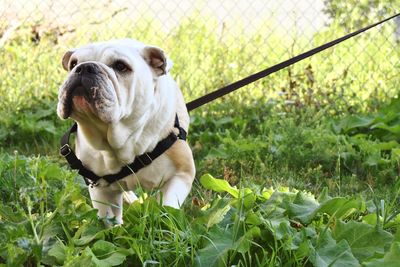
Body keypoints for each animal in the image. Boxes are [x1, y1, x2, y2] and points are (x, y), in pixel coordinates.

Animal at [57, 39, 195, 224]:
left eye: (121, 66)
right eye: (73, 63)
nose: (84, 67)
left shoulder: (181, 174)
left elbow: (167, 205)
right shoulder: (100, 190)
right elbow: (109, 220)